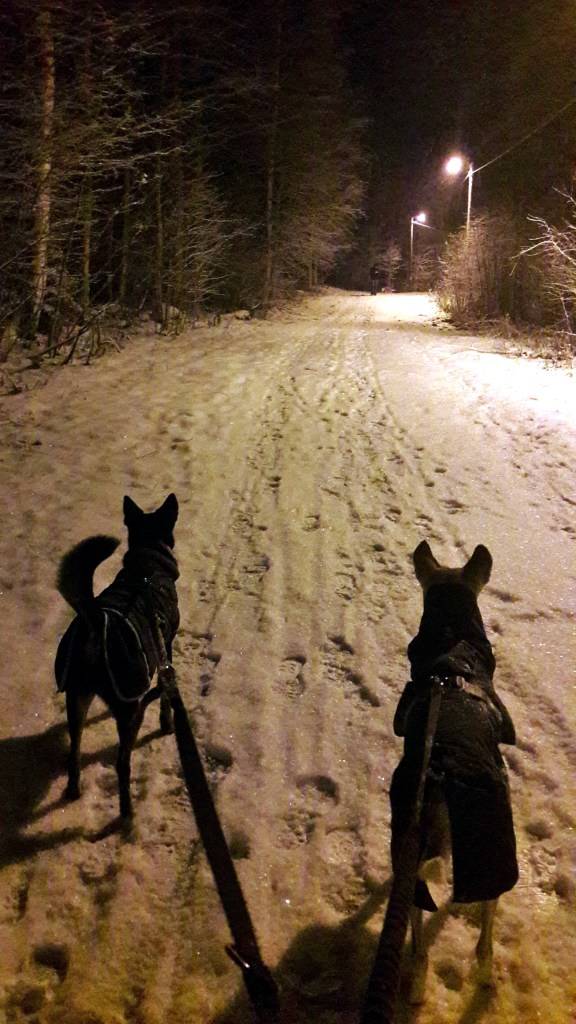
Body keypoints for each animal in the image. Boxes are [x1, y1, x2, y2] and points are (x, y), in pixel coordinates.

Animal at [55, 494, 180, 818]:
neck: (146, 566)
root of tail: (94, 626)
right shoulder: (166, 647)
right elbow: (165, 696)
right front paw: (167, 723)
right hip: (128, 710)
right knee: (122, 763)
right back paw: (127, 812)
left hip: (76, 697)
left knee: (73, 751)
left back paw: (73, 790)